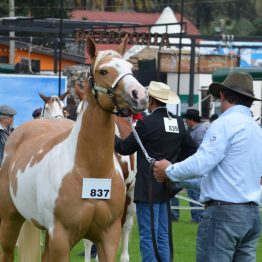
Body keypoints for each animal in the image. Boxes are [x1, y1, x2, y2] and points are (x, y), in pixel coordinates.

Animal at [0, 35, 147, 262]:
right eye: (103, 71)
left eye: (131, 67)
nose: (139, 95)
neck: (89, 171)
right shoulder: (61, 237)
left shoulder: (108, 236)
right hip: (10, 219)